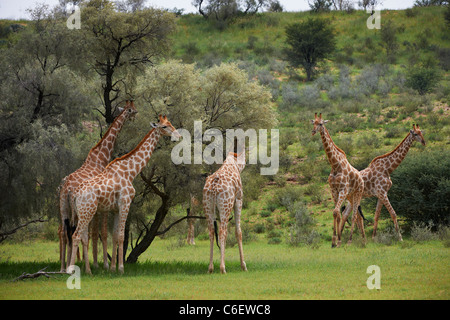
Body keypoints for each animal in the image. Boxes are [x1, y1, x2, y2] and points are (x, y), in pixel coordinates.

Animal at [59, 100, 138, 270]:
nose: (135, 117)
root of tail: (66, 188)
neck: (100, 157)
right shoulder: (103, 207)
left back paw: (63, 267)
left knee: (63, 232)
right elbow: (100, 232)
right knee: (75, 233)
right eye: (132, 110)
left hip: (63, 208)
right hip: (78, 209)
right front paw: (103, 265)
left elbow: (93, 233)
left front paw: (96, 263)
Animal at [67, 115, 180, 276]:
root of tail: (75, 194)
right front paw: (120, 268)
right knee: (76, 236)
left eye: (170, 123)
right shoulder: (125, 203)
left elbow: (115, 236)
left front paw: (112, 268)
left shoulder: (115, 209)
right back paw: (71, 270)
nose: (178, 135)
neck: (131, 172)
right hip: (87, 211)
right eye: (164, 126)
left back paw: (88, 270)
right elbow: (121, 236)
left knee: (82, 237)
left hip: (81, 213)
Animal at [312, 112, 366, 248]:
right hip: (351, 196)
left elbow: (336, 211)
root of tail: (361, 180)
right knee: (358, 216)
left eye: (321, 124)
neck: (335, 164)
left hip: (358, 193)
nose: (313, 131)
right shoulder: (334, 190)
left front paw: (338, 241)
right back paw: (364, 241)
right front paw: (335, 241)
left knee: (354, 216)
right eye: (313, 122)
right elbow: (336, 214)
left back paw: (351, 241)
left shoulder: (342, 190)